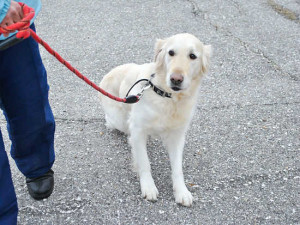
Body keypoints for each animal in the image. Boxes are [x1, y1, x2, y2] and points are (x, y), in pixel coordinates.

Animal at [99, 32, 211, 207]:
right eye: (171, 52)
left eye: (193, 56)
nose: (176, 79)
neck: (168, 97)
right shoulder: (138, 129)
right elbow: (144, 162)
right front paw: (148, 187)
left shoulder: (177, 135)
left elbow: (177, 168)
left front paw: (182, 191)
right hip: (119, 120)